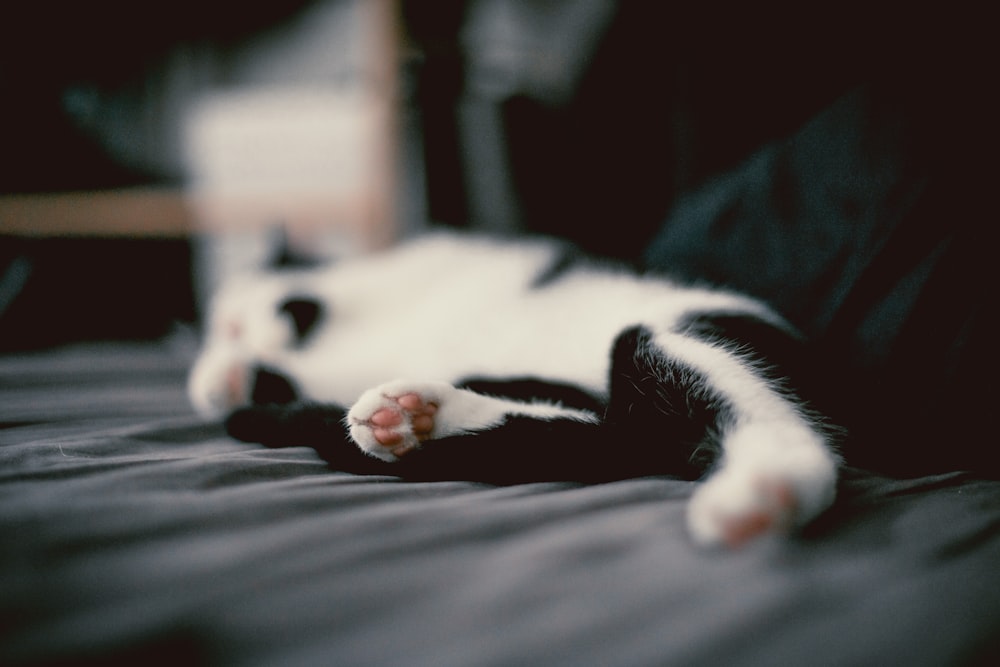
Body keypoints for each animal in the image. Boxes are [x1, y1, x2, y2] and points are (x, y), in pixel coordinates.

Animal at [189, 232, 844, 552]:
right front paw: (226, 378)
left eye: (230, 318)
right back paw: (413, 416)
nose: (225, 327)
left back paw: (763, 490)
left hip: (667, 334)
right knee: (592, 433)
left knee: (768, 426)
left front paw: (219, 373)